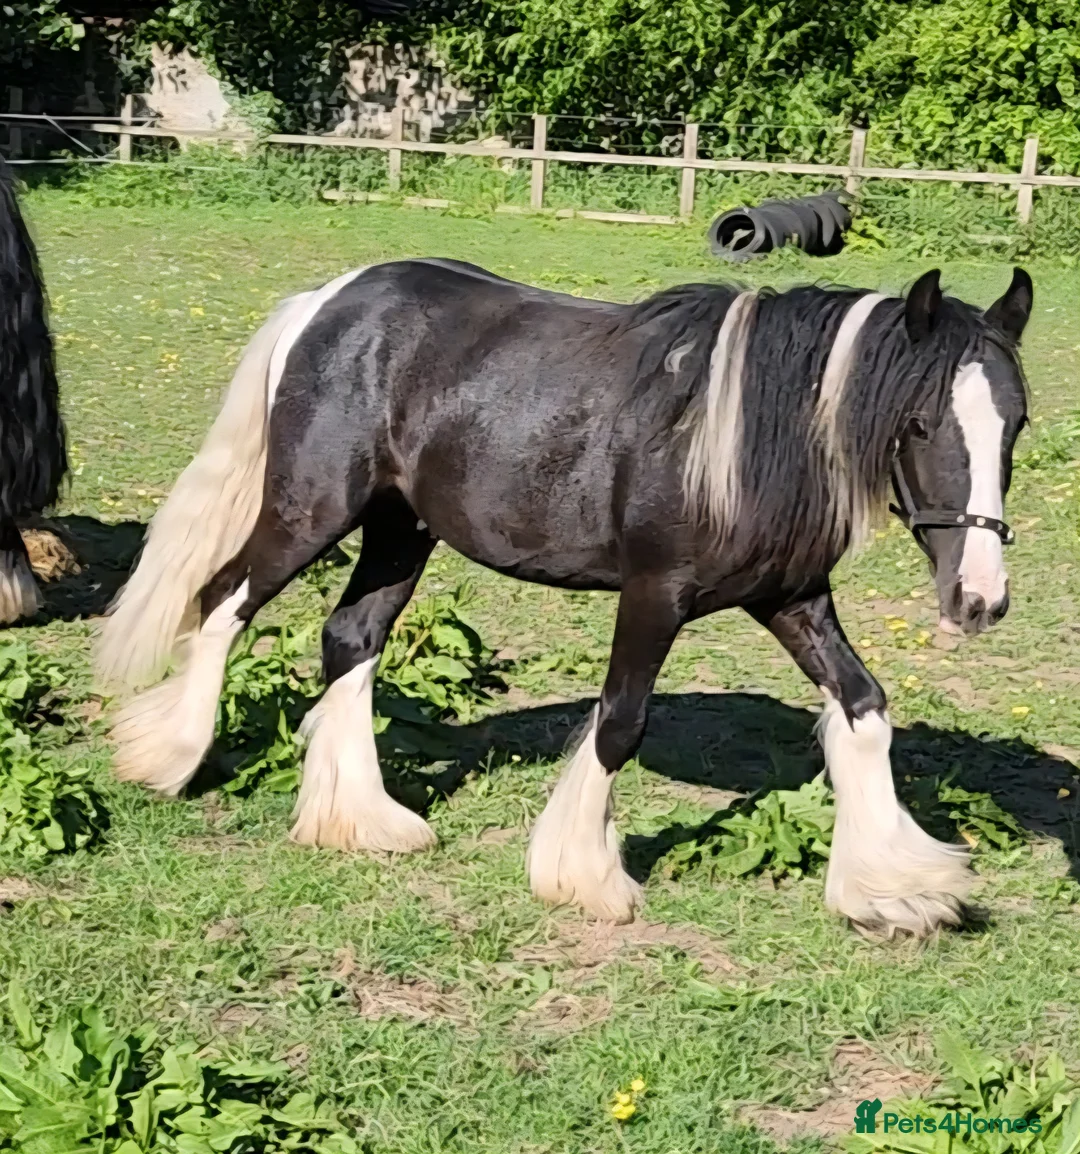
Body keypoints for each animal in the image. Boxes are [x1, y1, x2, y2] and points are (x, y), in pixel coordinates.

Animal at [96, 258, 1032, 938]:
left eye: (1015, 424)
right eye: (918, 424)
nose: (979, 598)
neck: (741, 440)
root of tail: (326, 302)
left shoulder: (791, 599)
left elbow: (864, 706)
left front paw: (896, 887)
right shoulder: (655, 594)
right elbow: (619, 722)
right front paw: (582, 876)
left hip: (401, 530)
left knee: (350, 637)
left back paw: (361, 820)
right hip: (312, 508)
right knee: (223, 602)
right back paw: (169, 758)